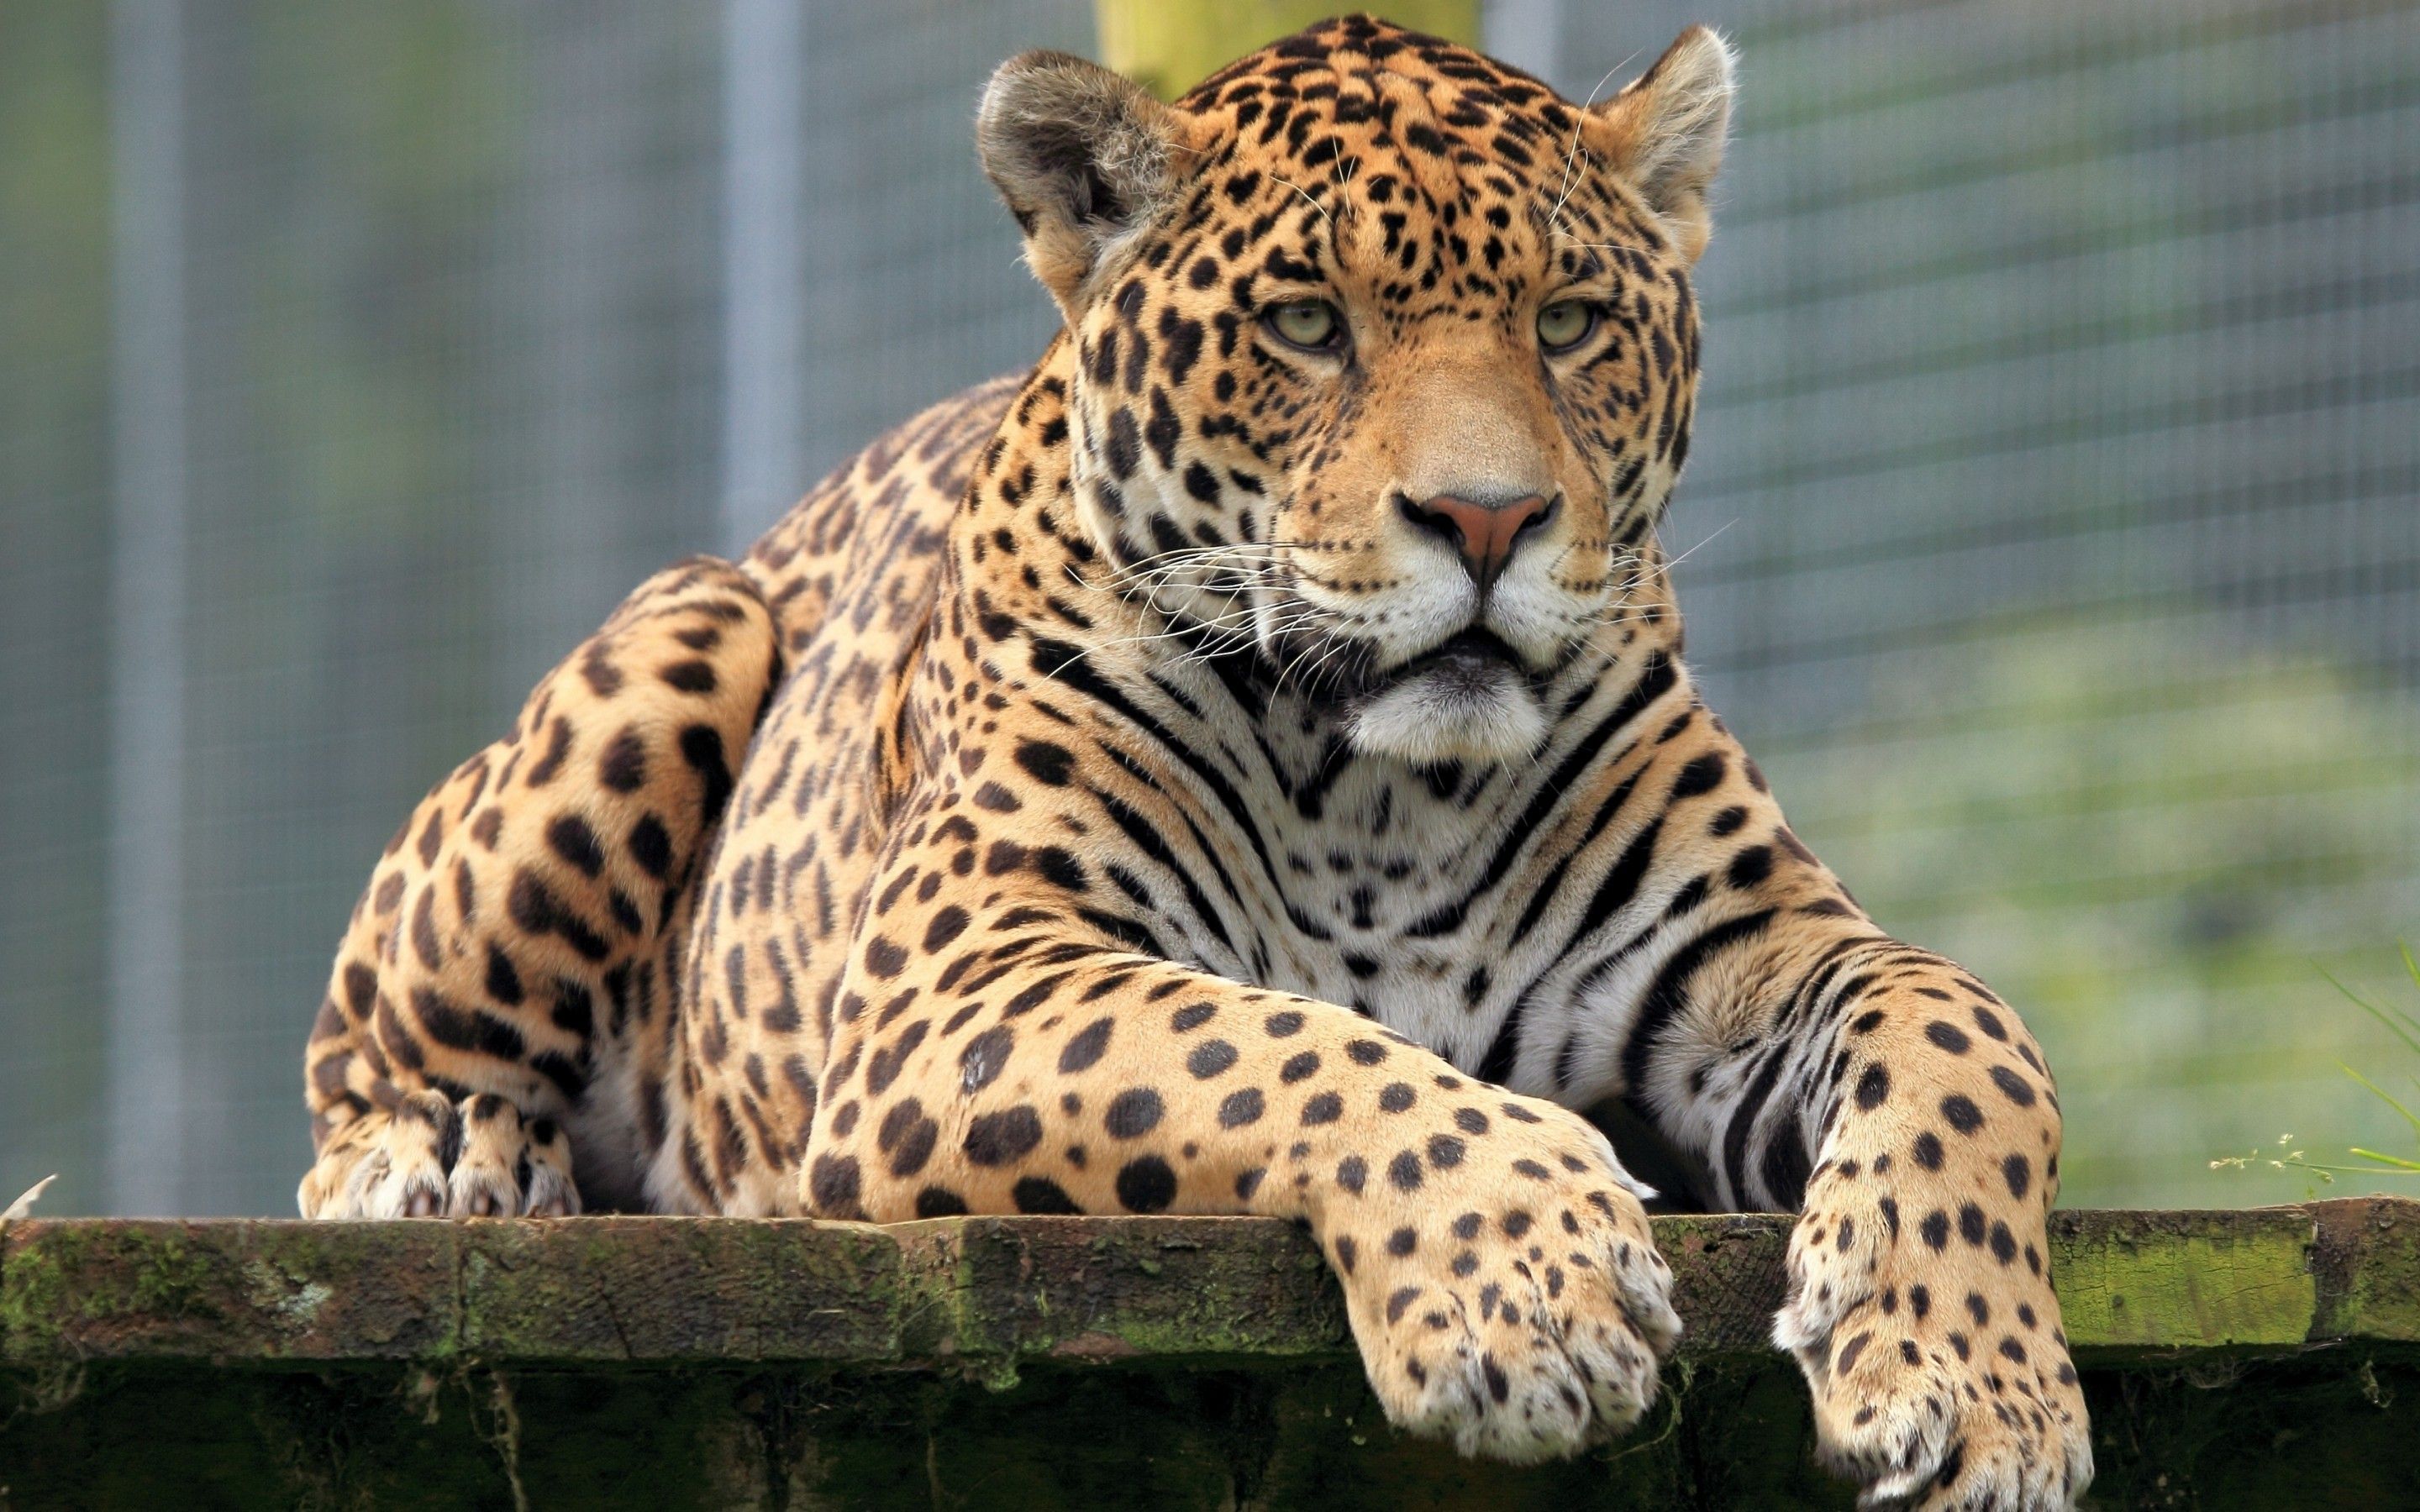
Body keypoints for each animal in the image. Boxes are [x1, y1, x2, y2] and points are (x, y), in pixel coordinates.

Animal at [296, 17, 2092, 1507]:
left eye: (1572, 323)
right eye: (1307, 324)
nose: (1491, 520)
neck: (1388, 792)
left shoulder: (1745, 953)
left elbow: (1967, 1033)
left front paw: (1974, 1384)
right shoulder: (961, 979)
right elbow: (1278, 1043)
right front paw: (1527, 1290)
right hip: (688, 634)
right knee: (361, 1061)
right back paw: (440, 1155)